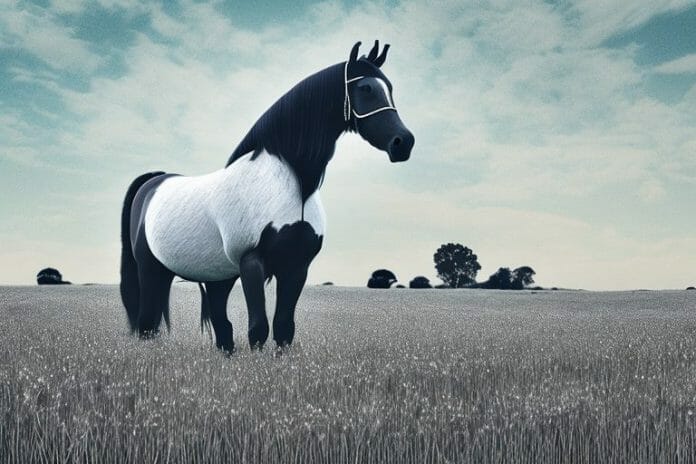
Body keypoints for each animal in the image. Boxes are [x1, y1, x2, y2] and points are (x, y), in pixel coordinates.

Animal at [119, 41, 415, 353]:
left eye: (390, 88)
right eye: (366, 88)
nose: (403, 143)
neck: (294, 186)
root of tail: (154, 181)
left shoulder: (297, 267)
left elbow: (283, 328)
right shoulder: (252, 263)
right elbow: (258, 329)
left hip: (217, 278)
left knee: (222, 327)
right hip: (151, 271)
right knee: (147, 323)